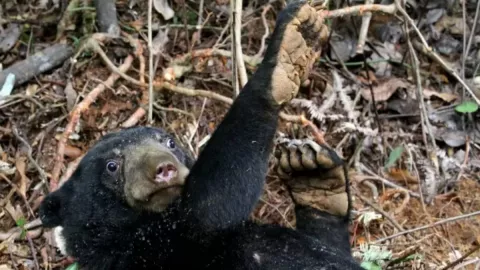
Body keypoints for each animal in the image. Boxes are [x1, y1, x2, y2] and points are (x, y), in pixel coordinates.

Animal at [39, 1, 362, 268]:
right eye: (111, 165)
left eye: (170, 142)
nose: (164, 169)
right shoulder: (157, 249)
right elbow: (213, 206)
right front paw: (284, 53)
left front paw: (314, 177)